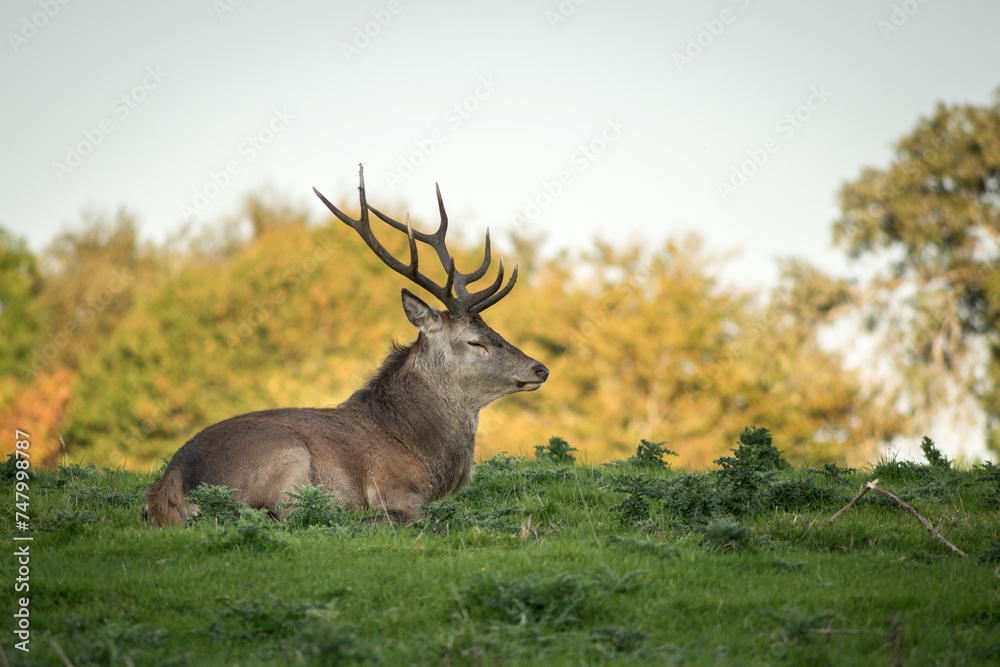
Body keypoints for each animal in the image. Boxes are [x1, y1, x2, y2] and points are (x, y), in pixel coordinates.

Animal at [144, 165, 549, 526]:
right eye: (475, 341)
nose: (540, 368)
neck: (422, 451)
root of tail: (170, 483)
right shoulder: (392, 485)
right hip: (285, 458)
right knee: (298, 517)